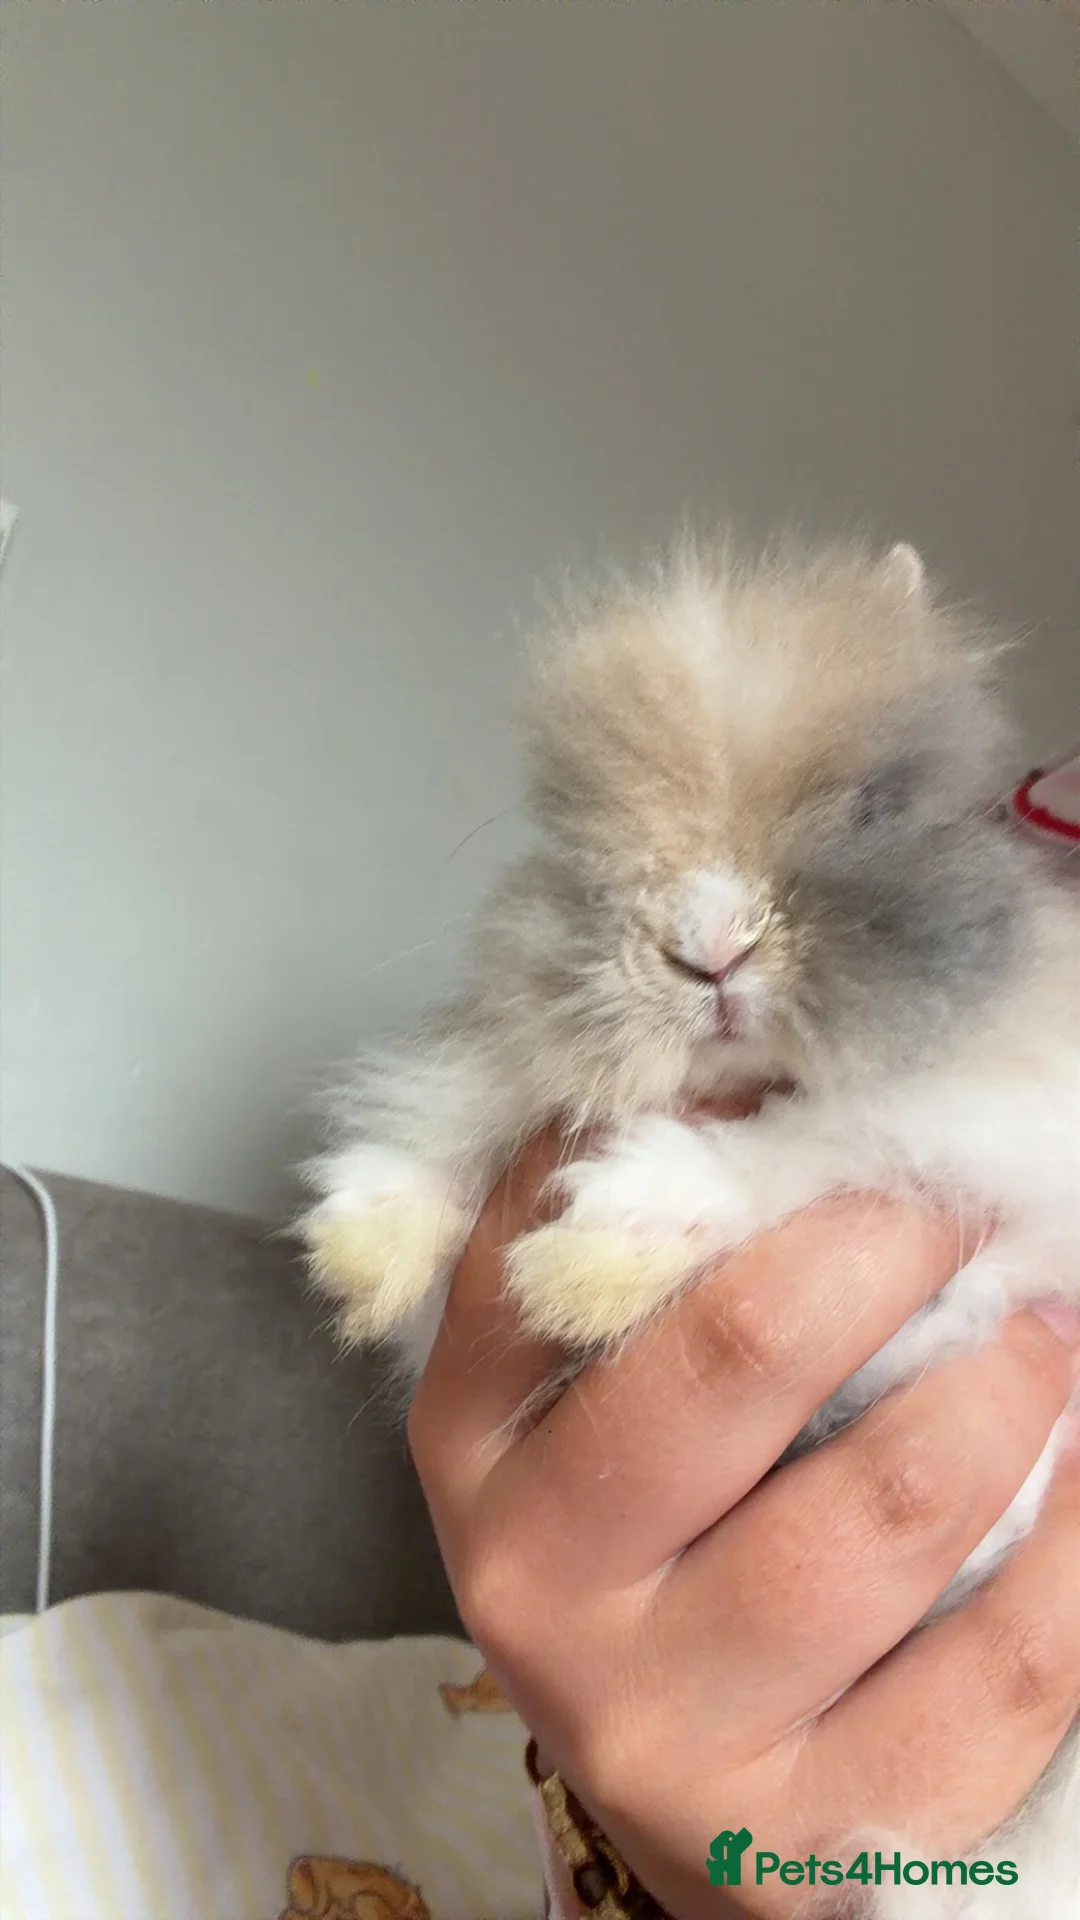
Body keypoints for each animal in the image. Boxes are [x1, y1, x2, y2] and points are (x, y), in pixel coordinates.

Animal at [299, 536, 1080, 1917]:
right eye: (577, 839)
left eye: (873, 810)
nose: (709, 949)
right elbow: (467, 1093)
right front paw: (363, 1251)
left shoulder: (986, 1132)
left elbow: (808, 1151)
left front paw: (593, 1248)